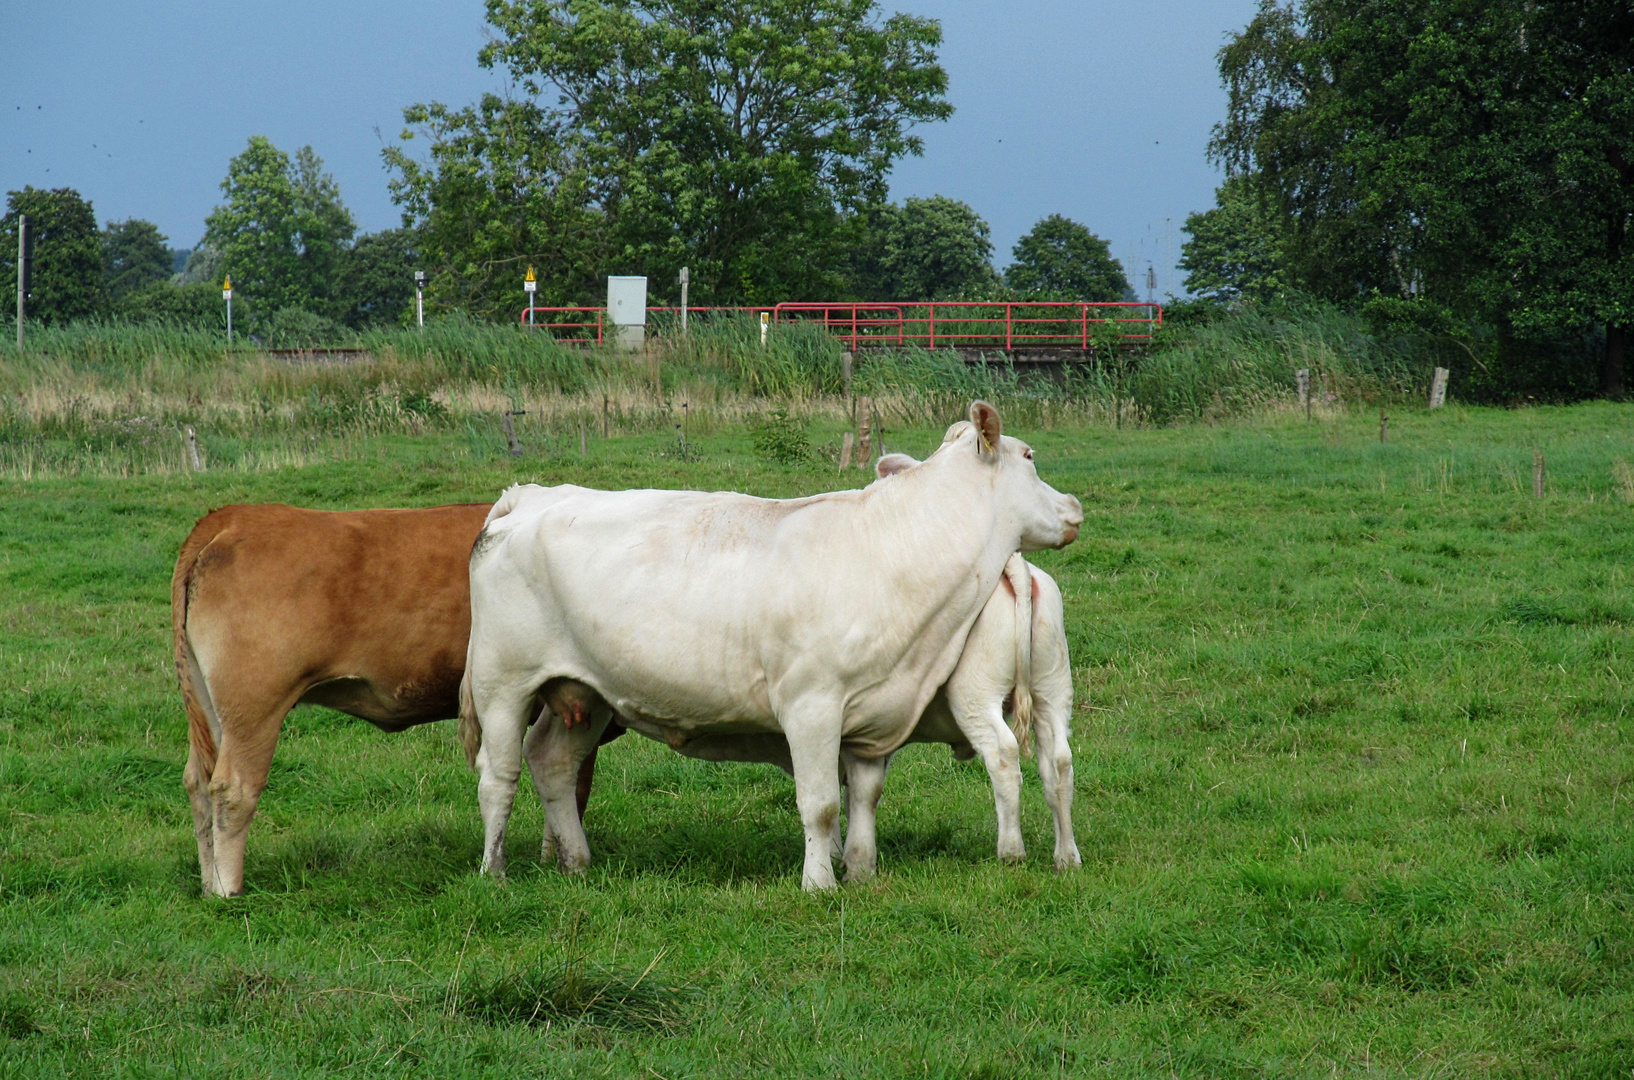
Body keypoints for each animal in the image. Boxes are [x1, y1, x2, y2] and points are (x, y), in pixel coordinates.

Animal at [175, 499, 614, 895]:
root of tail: (233, 515)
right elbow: (574, 782)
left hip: (210, 707)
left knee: (198, 782)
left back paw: (208, 884)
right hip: (254, 709)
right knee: (232, 788)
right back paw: (228, 890)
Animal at [460, 400, 1084, 888]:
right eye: (1030, 456)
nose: (1075, 507)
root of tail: (533, 495)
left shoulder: (873, 712)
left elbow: (863, 797)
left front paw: (860, 872)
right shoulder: (812, 704)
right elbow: (821, 804)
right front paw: (819, 883)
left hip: (586, 693)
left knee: (553, 762)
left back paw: (577, 861)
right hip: (503, 682)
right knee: (499, 776)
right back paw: (494, 871)